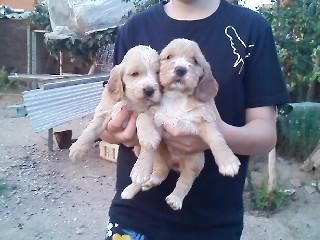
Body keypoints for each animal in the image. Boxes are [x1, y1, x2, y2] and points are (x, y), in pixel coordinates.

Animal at [69, 45, 161, 179]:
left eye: (158, 73)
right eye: (135, 74)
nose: (149, 90)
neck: (130, 100)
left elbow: (143, 117)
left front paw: (148, 138)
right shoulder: (105, 110)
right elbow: (91, 128)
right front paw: (77, 148)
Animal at [121, 39, 241, 210]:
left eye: (195, 61)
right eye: (169, 57)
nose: (180, 69)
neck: (176, 98)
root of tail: (173, 164)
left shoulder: (204, 119)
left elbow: (217, 138)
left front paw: (228, 161)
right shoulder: (155, 116)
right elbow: (144, 128)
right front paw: (140, 169)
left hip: (195, 162)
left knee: (185, 179)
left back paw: (175, 198)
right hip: (160, 155)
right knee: (160, 172)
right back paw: (143, 183)